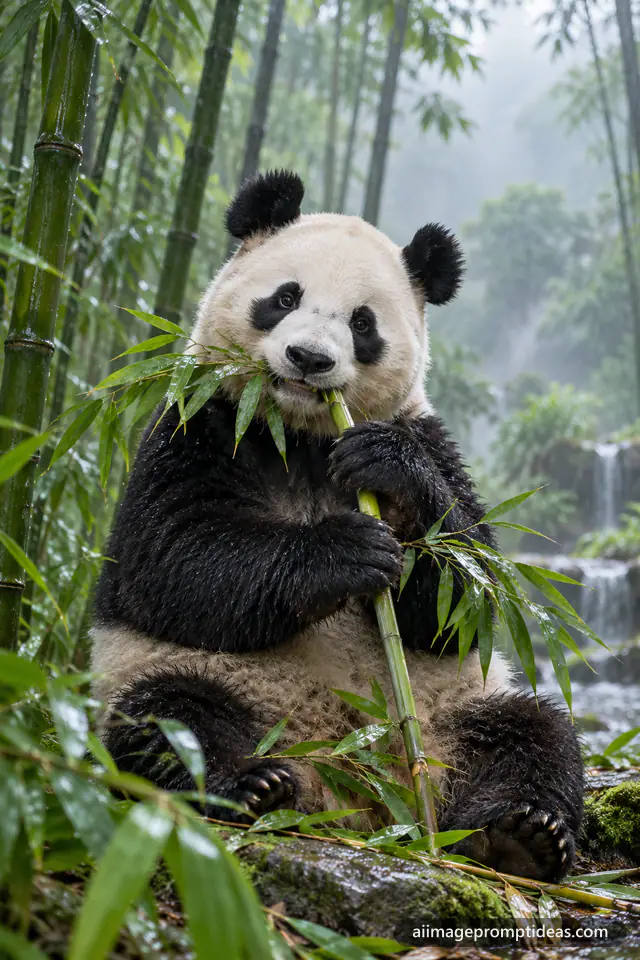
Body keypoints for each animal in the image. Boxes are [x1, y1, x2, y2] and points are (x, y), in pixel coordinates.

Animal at [92, 170, 583, 883]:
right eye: (284, 297)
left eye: (362, 323)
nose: (309, 359)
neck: (299, 435)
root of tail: (360, 799)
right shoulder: (198, 420)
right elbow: (172, 560)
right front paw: (348, 552)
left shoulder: (428, 436)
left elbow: (470, 593)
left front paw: (390, 474)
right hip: (182, 677)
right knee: (170, 721)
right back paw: (251, 787)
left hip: (453, 715)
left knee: (535, 735)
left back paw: (520, 834)